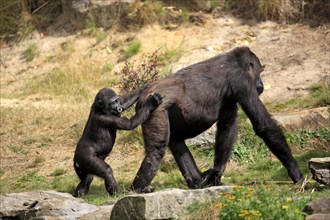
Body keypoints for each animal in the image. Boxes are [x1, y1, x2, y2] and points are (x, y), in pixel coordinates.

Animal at [131, 46, 304, 192]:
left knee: (175, 139)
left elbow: (227, 128)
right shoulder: (242, 81)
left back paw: (197, 181)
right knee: (156, 150)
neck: (235, 62)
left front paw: (216, 174)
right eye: (259, 73)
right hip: (154, 108)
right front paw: (295, 171)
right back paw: (138, 188)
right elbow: (264, 126)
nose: (262, 83)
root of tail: (145, 91)